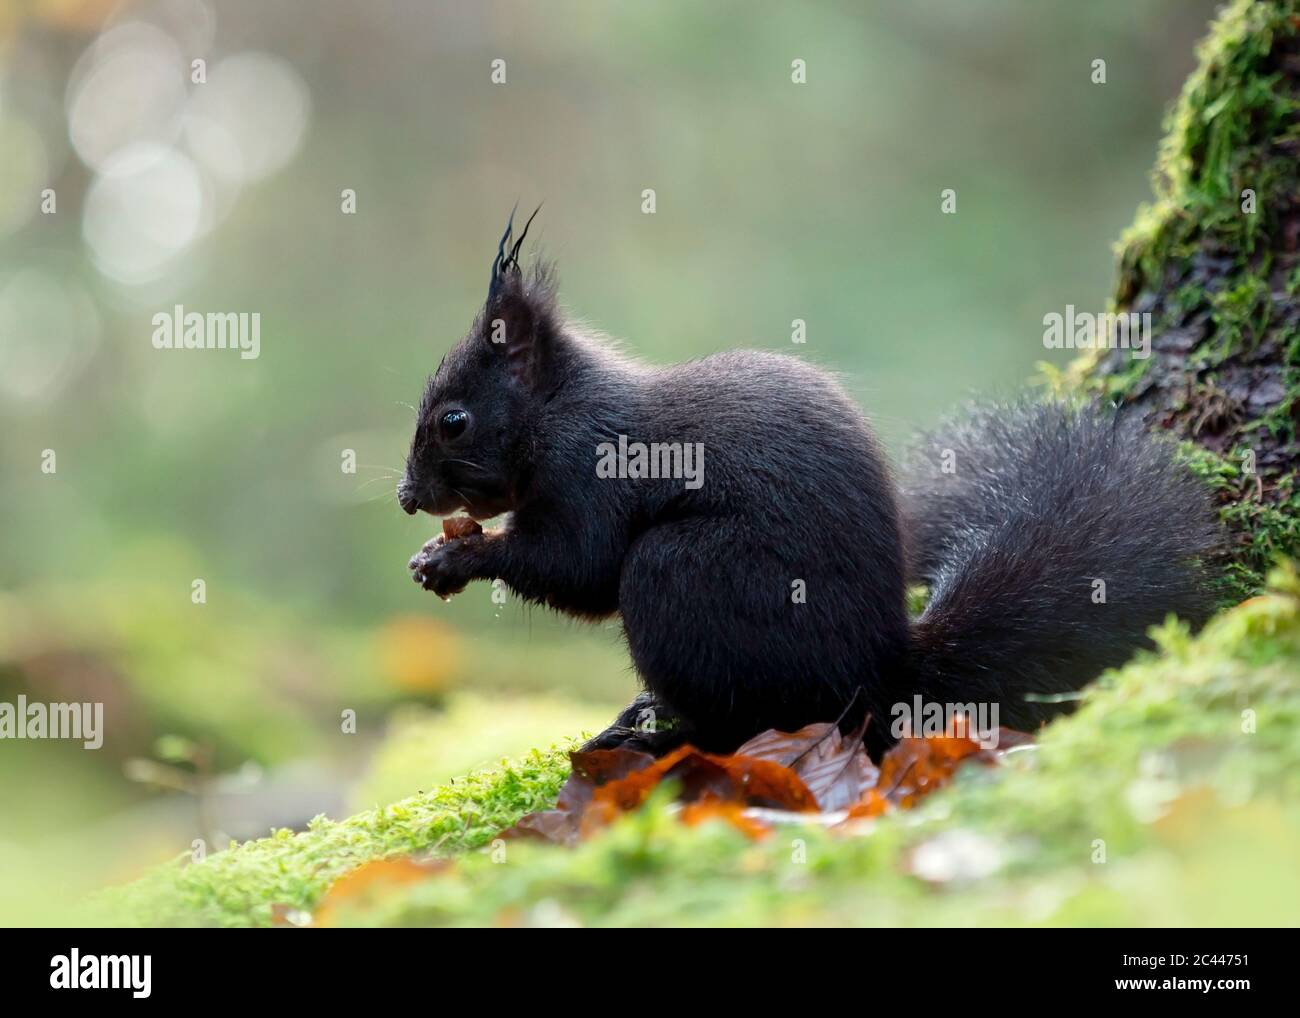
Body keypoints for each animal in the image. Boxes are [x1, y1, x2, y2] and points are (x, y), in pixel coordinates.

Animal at [395, 213, 1216, 754]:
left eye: (454, 421)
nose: (408, 497)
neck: (558, 411)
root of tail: (878, 676)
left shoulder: (591, 473)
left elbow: (578, 567)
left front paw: (457, 558)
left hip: (685, 574)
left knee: (745, 714)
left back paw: (656, 734)